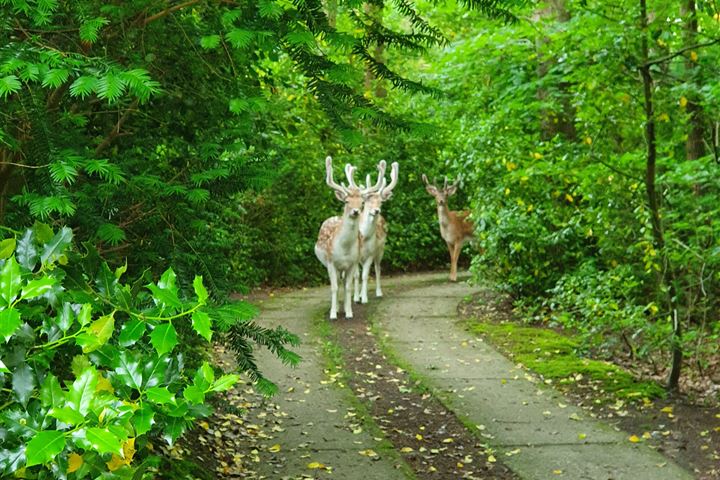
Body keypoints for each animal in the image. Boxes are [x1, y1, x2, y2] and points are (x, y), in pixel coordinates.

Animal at [314, 157, 382, 318]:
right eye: (346, 201)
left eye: (362, 202)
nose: (356, 211)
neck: (344, 248)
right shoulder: (331, 262)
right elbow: (334, 287)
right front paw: (333, 314)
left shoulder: (352, 263)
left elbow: (348, 287)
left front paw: (349, 312)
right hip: (327, 263)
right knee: (337, 284)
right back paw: (337, 308)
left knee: (344, 283)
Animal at [348, 161, 400, 304]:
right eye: (366, 201)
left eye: (381, 201)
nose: (376, 210)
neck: (364, 236)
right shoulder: (355, 255)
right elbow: (356, 275)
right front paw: (356, 298)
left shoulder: (371, 254)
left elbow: (365, 275)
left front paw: (364, 298)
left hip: (380, 250)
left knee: (377, 269)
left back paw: (378, 292)